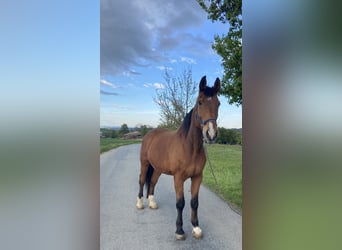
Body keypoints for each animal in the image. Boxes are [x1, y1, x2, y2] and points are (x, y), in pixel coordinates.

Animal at [135, 75, 220, 239]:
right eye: (200, 102)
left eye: (218, 103)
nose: (211, 134)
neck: (190, 148)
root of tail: (150, 134)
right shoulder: (178, 178)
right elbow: (180, 203)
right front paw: (179, 230)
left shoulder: (197, 177)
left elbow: (194, 202)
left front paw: (196, 228)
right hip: (145, 163)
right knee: (142, 181)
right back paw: (140, 203)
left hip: (157, 168)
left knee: (152, 182)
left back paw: (152, 203)